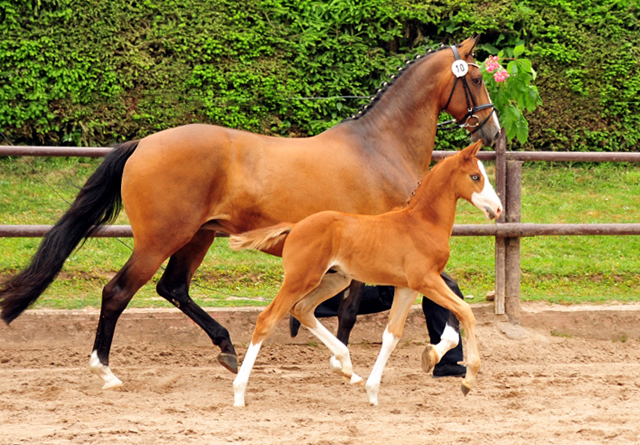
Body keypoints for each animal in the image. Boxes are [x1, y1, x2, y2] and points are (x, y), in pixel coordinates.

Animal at [228, 140, 502, 406]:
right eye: (476, 177)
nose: (498, 209)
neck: (422, 223)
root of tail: (295, 226)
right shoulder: (426, 280)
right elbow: (465, 311)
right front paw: (468, 380)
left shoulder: (407, 287)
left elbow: (392, 335)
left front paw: (372, 391)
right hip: (300, 279)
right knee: (267, 319)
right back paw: (239, 393)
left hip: (335, 280)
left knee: (303, 309)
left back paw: (348, 368)